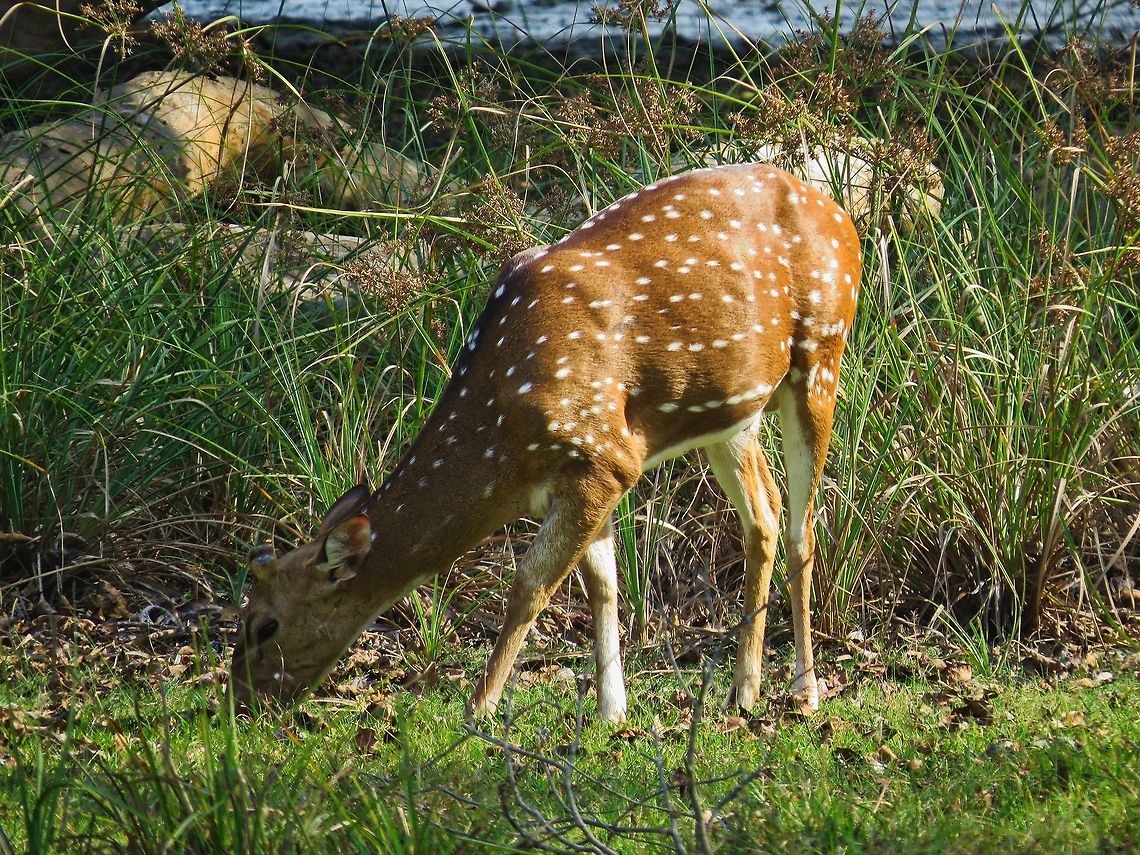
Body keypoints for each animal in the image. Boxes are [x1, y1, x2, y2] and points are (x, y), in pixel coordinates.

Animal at [230, 162, 861, 722]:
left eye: (266, 624)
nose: (242, 702)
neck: (505, 444)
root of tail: (838, 215)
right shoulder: (596, 469)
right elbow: (601, 584)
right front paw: (612, 712)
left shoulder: (602, 457)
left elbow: (531, 582)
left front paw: (480, 708)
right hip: (733, 414)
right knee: (765, 515)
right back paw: (743, 690)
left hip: (822, 355)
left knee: (803, 527)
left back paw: (805, 692)